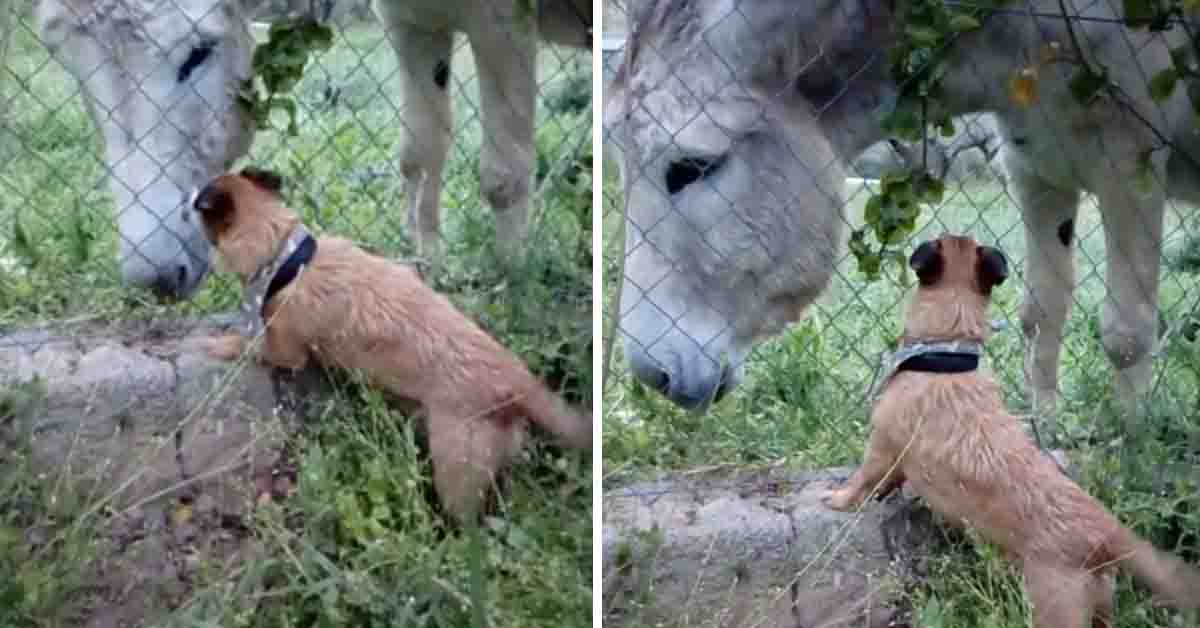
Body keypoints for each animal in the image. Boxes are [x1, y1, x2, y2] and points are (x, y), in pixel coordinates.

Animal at [186, 168, 590, 525]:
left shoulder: (286, 352)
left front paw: (215, 342)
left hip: (455, 470)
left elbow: (248, 344)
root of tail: (517, 379)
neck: (286, 255)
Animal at [820, 232, 1200, 624]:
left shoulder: (882, 447)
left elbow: (863, 479)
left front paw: (839, 499)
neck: (946, 349)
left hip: (1054, 607)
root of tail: (1104, 530)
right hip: (1099, 603)